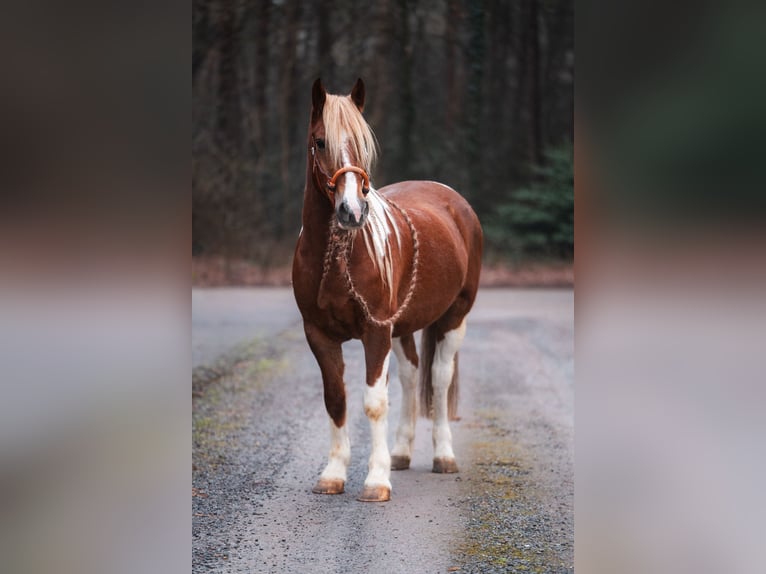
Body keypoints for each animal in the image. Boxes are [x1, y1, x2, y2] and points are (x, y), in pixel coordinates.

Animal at [292, 78, 483, 502]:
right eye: (320, 142)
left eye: (364, 145)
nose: (351, 211)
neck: (335, 258)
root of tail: (454, 201)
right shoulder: (318, 334)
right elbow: (336, 398)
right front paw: (334, 474)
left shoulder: (375, 330)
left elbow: (375, 402)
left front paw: (376, 481)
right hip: (404, 326)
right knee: (412, 375)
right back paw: (401, 453)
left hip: (454, 317)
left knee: (439, 379)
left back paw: (443, 457)